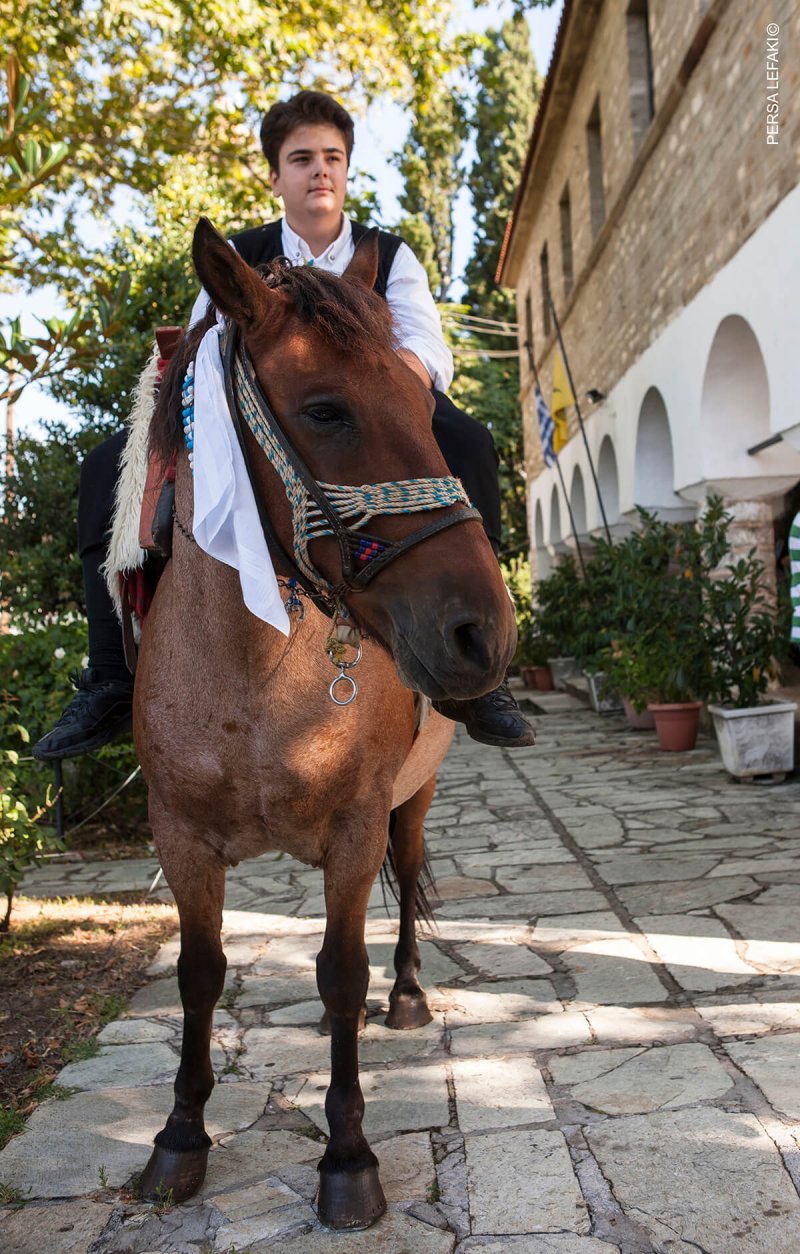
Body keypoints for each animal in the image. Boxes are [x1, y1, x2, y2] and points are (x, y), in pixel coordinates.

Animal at [134, 220, 516, 1228]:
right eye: (326, 410)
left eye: (424, 407)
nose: (482, 634)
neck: (254, 669)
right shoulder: (179, 837)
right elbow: (200, 974)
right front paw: (179, 1136)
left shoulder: (355, 826)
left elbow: (344, 973)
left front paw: (348, 1157)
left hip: (414, 800)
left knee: (407, 887)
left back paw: (409, 995)